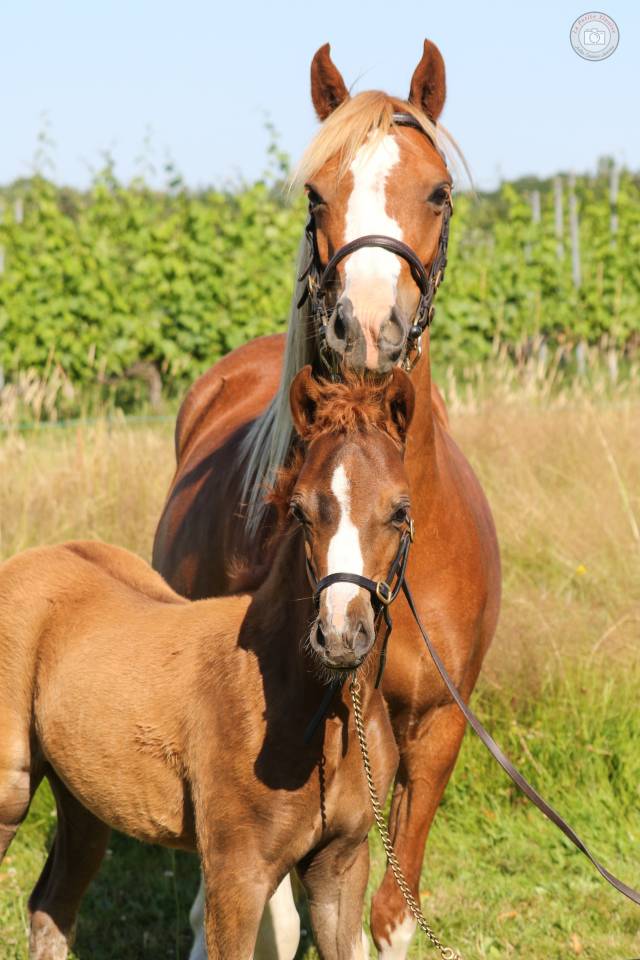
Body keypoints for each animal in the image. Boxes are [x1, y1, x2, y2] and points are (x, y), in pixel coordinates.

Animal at [0, 370, 424, 960]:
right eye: (299, 509)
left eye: (400, 510)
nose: (340, 635)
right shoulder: (235, 871)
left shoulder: (342, 863)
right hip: (9, 790)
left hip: (84, 799)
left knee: (51, 907)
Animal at [153, 41, 501, 959]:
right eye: (317, 194)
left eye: (438, 191)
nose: (366, 327)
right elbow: (267, 909)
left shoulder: (436, 732)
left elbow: (391, 910)